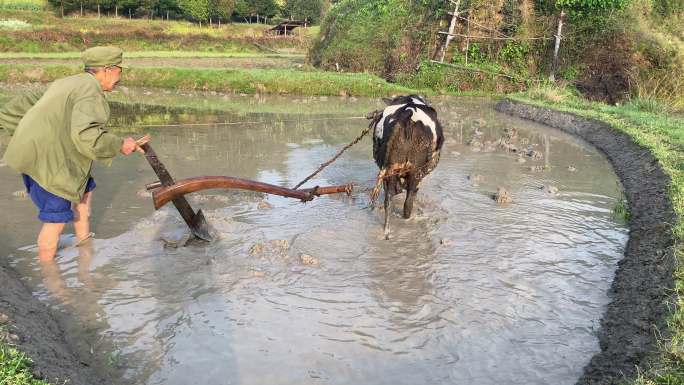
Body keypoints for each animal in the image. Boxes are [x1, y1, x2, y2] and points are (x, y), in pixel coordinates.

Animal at [368, 94, 444, 237]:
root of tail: (408, 112)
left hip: (389, 169)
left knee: (388, 200)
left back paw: (386, 230)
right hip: (415, 171)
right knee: (408, 202)